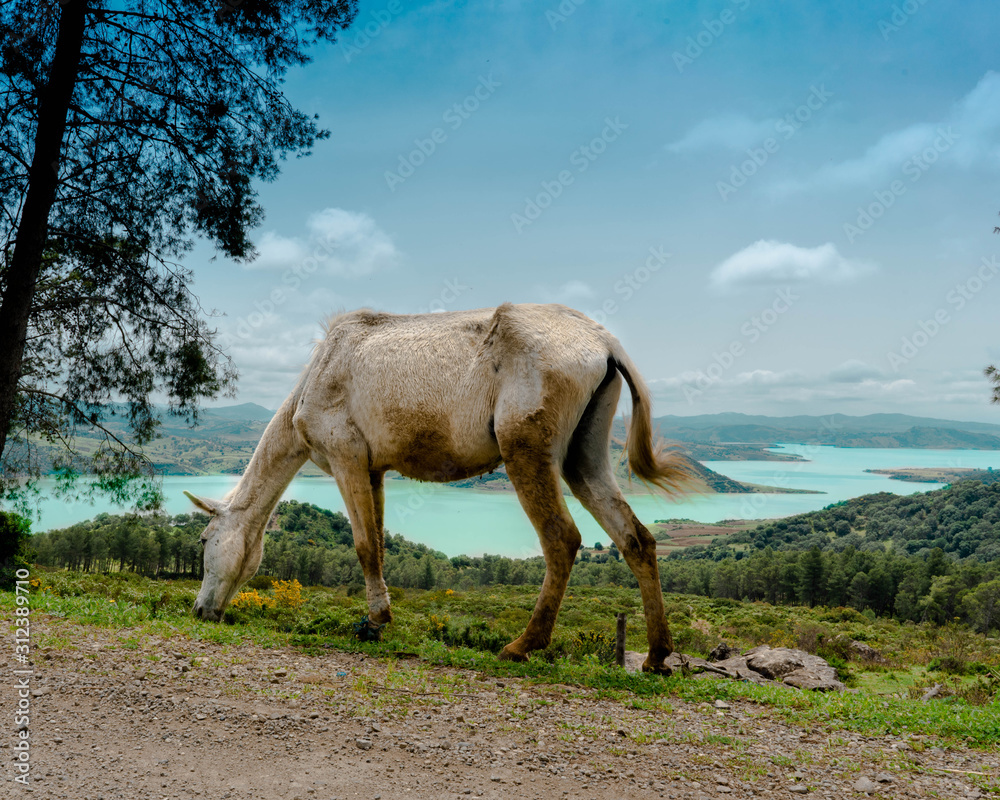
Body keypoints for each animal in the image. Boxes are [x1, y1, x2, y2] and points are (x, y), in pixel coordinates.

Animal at [186, 302, 696, 672]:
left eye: (204, 541)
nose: (201, 610)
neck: (317, 375)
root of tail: (603, 341)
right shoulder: (374, 470)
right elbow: (379, 543)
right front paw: (378, 619)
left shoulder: (346, 458)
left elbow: (363, 545)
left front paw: (374, 621)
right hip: (582, 458)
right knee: (636, 539)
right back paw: (656, 656)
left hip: (526, 449)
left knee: (562, 539)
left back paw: (522, 645)